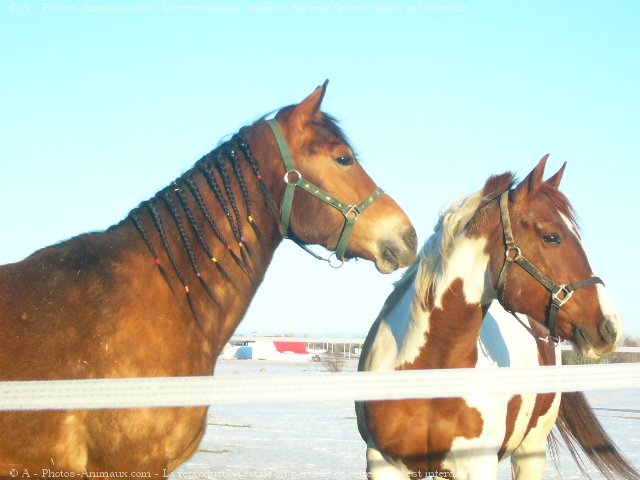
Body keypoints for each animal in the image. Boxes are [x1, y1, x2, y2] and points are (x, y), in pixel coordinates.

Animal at [358, 156, 636, 478]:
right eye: (552, 237)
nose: (610, 327)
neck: (429, 372)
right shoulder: (383, 462)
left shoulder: (477, 464)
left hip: (531, 449)